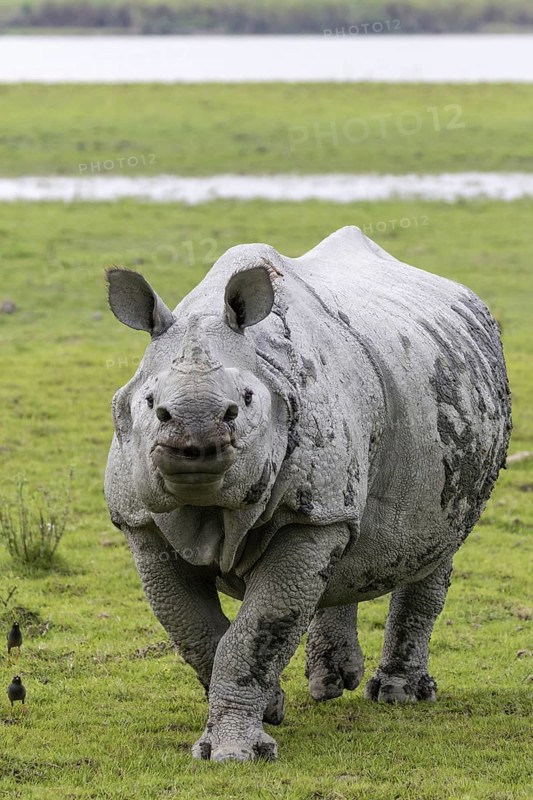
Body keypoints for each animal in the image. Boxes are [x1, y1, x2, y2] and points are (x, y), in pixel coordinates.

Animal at [105, 226, 511, 762]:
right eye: (152, 403)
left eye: (244, 403)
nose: (196, 439)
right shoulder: (141, 521)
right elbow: (195, 630)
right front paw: (270, 706)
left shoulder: (310, 516)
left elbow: (259, 628)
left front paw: (235, 754)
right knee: (345, 552)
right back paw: (330, 684)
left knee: (434, 541)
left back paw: (399, 694)